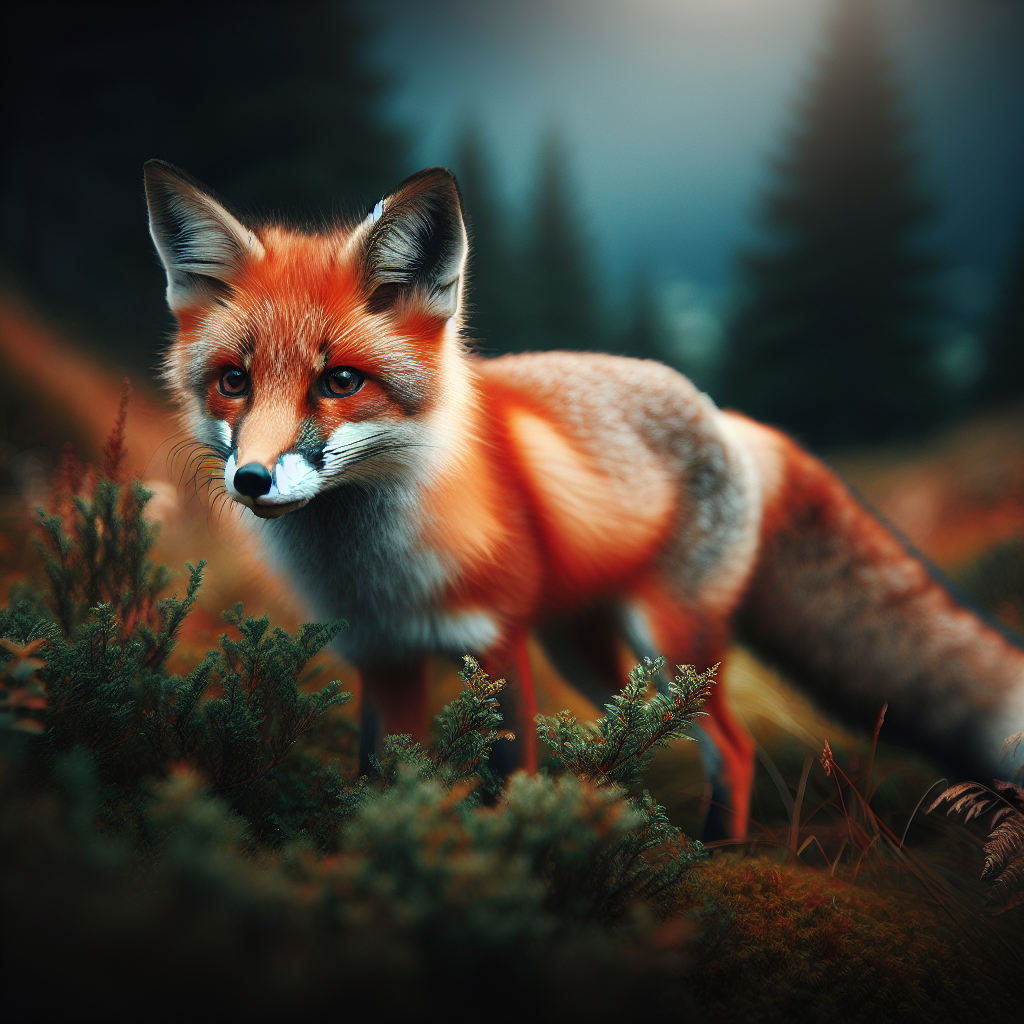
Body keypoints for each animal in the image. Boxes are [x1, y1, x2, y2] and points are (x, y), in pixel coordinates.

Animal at [145, 159, 1024, 840]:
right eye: (234, 381)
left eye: (339, 382)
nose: (252, 481)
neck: (381, 574)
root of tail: (725, 415)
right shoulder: (382, 657)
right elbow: (384, 777)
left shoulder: (495, 645)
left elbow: (507, 772)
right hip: (589, 648)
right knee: (663, 734)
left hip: (669, 645)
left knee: (732, 748)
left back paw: (713, 855)